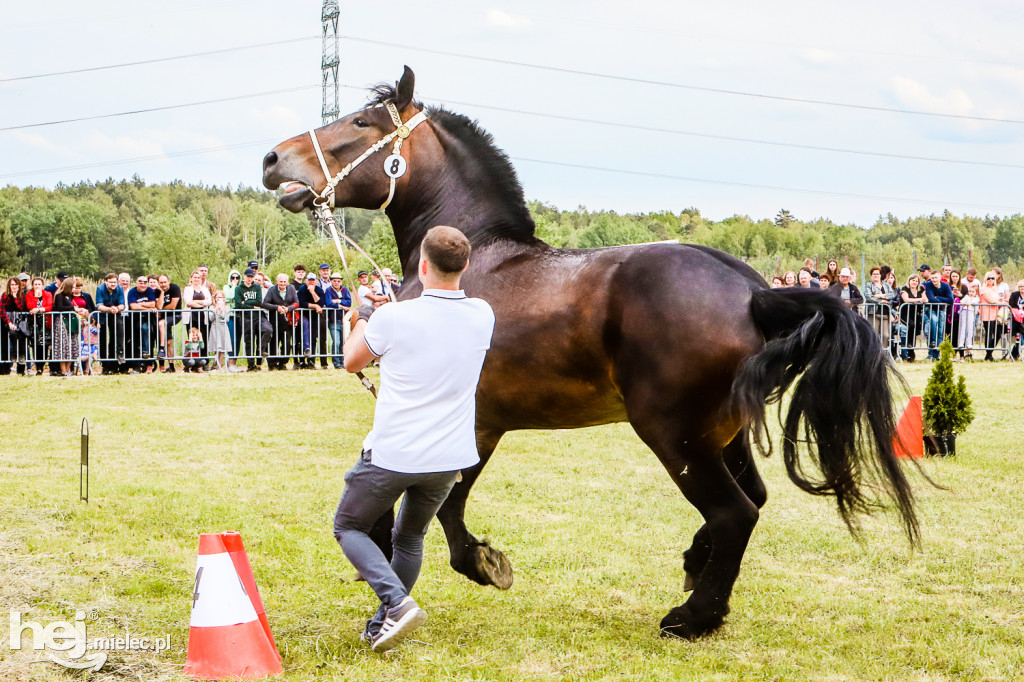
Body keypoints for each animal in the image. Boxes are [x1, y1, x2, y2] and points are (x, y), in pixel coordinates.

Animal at [260, 66, 917, 634]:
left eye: (362, 122)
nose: (272, 159)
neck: (476, 258)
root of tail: (756, 293)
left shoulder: (464, 419)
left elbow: (436, 508)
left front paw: (484, 565)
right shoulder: (479, 424)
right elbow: (425, 507)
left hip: (674, 434)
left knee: (735, 513)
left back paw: (692, 618)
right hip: (721, 433)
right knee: (749, 501)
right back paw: (696, 571)